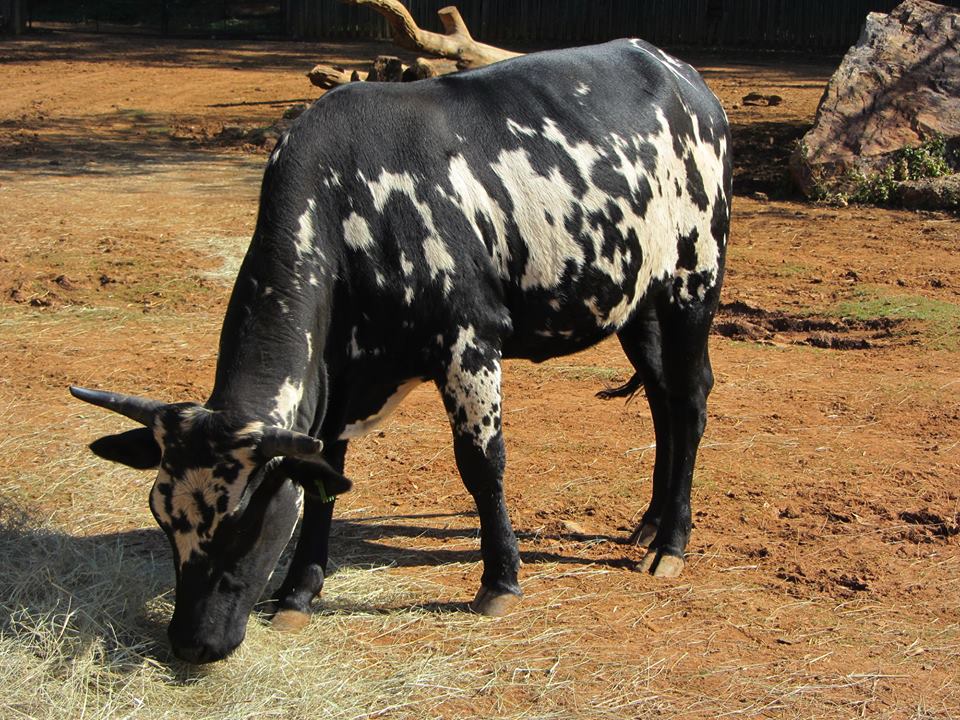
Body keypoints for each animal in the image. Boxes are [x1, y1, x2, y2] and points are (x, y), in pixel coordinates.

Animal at [70, 38, 731, 663]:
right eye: (161, 514)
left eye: (243, 521)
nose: (191, 644)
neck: (347, 204)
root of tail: (678, 73)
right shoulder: (337, 376)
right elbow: (325, 476)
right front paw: (298, 593)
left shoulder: (469, 340)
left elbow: (481, 464)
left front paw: (499, 581)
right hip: (639, 300)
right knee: (663, 401)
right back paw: (649, 523)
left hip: (695, 279)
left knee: (690, 399)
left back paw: (671, 543)